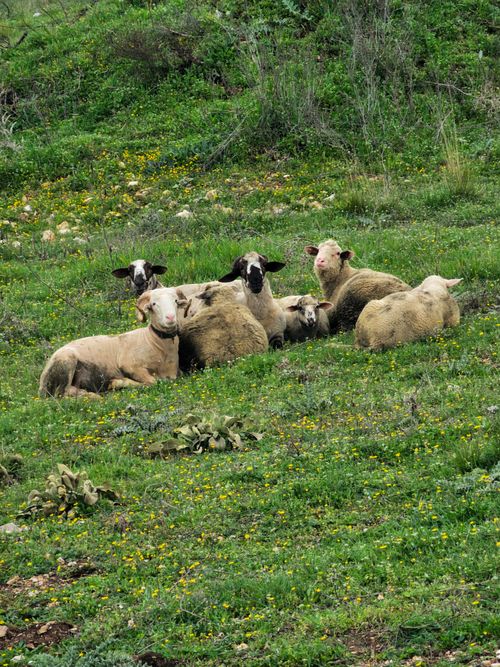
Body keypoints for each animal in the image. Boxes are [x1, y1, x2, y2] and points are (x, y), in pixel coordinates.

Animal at [39, 288, 188, 398]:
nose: (170, 318)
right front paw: (117, 382)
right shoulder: (130, 365)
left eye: (175, 301)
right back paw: (91, 396)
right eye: (154, 304)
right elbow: (153, 382)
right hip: (66, 362)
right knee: (62, 393)